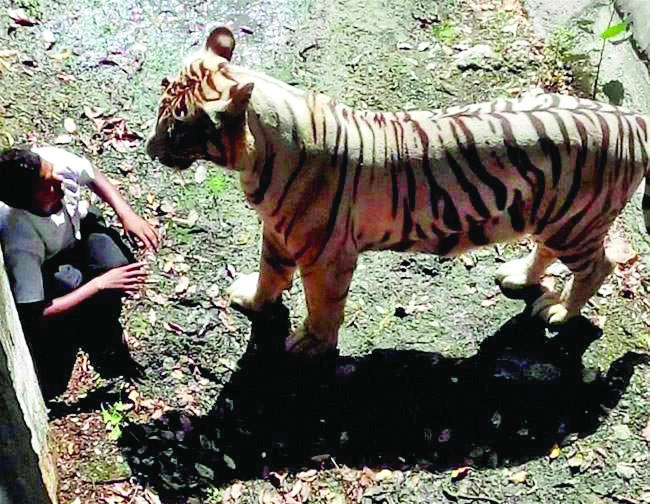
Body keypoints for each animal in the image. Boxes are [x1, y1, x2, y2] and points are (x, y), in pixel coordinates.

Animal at [146, 25, 650, 356]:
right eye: (160, 106)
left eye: (175, 129)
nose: (150, 149)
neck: (256, 156)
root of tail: (631, 116)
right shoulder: (276, 231)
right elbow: (271, 271)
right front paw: (253, 299)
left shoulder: (326, 255)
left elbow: (323, 304)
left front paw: (311, 344)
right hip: (548, 214)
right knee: (545, 251)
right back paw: (519, 276)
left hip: (578, 223)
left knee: (599, 267)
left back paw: (560, 312)